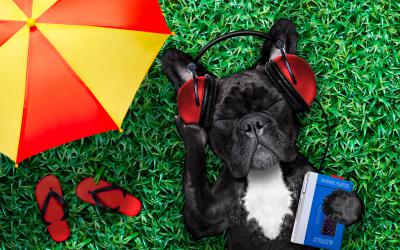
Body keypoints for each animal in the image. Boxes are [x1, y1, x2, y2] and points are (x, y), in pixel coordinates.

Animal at [161, 19, 364, 250]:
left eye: (272, 103)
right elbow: (193, 176)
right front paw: (192, 131)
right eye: (225, 118)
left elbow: (356, 204)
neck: (266, 175)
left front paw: (339, 203)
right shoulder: (204, 216)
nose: (251, 124)